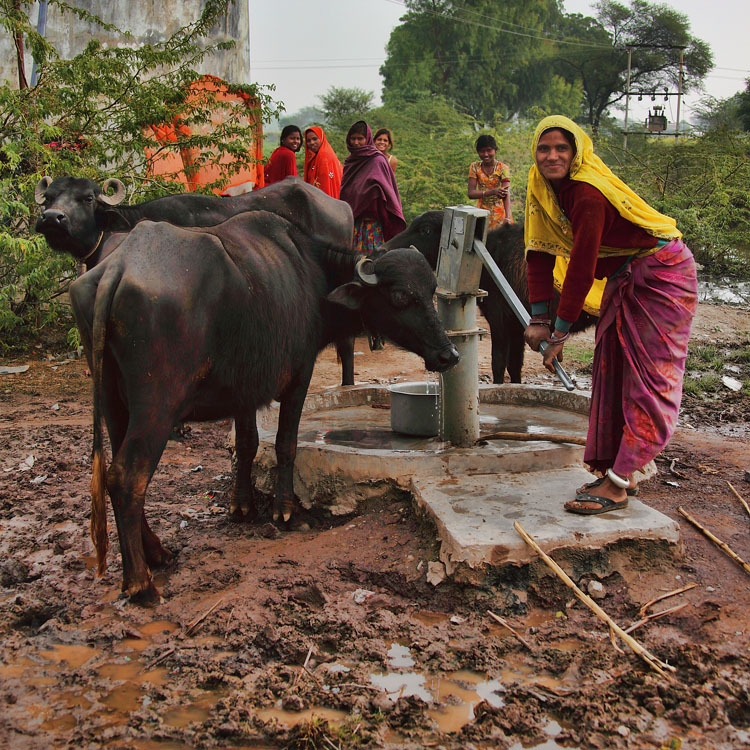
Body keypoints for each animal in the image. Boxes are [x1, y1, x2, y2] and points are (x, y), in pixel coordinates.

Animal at [72, 203, 458, 604]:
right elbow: (285, 443)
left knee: (116, 470)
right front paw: (285, 511)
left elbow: (247, 444)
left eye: (431, 290)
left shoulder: (244, 387)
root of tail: (118, 268)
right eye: (400, 296)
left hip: (113, 402)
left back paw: (157, 552)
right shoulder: (299, 374)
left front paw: (241, 506)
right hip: (158, 405)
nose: (448, 354)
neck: (313, 274)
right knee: (127, 477)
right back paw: (140, 582)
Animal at [382, 214, 600, 384]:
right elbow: (514, 366)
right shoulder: (518, 328)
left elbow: (498, 363)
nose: (382, 249)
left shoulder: (500, 322)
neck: (492, 255)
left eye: (425, 230)